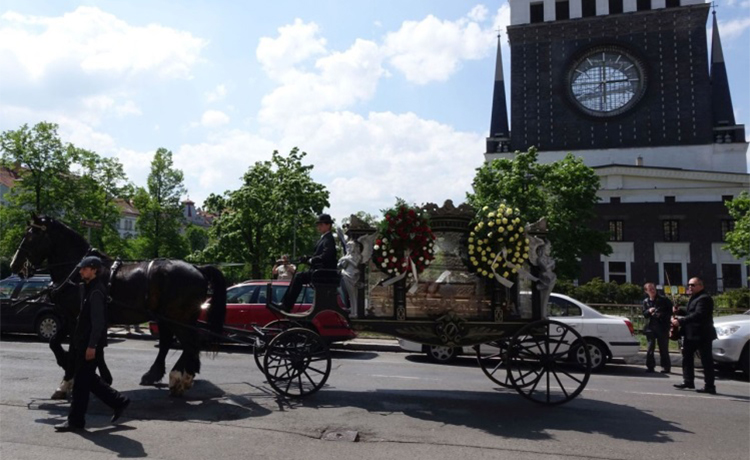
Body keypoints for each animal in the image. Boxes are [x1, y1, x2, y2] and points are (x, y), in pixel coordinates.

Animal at [9, 216, 226, 396]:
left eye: (31, 236)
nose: (14, 265)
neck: (77, 272)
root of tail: (198, 268)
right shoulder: (74, 318)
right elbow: (57, 343)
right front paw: (91, 373)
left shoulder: (77, 318)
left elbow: (75, 348)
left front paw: (67, 381)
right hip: (170, 317)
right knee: (173, 343)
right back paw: (162, 374)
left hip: (177, 317)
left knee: (190, 344)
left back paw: (180, 378)